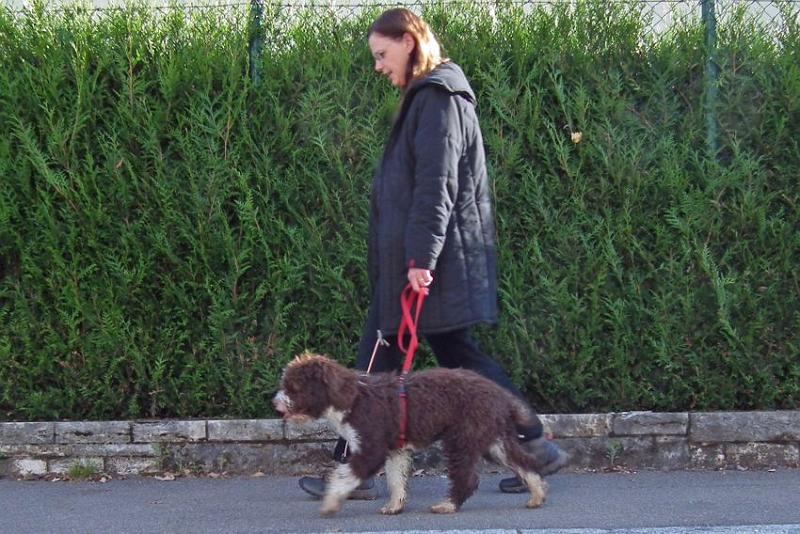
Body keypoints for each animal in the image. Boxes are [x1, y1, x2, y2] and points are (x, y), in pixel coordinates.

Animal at [272, 353, 547, 516]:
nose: (274, 402)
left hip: (462, 437)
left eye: (293, 387)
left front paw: (330, 502)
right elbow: (395, 479)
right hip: (493, 438)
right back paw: (536, 494)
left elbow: (345, 474)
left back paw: (448, 504)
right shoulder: (395, 449)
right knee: (524, 463)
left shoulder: (372, 447)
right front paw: (394, 505)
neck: (352, 398)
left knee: (467, 478)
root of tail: (501, 394)